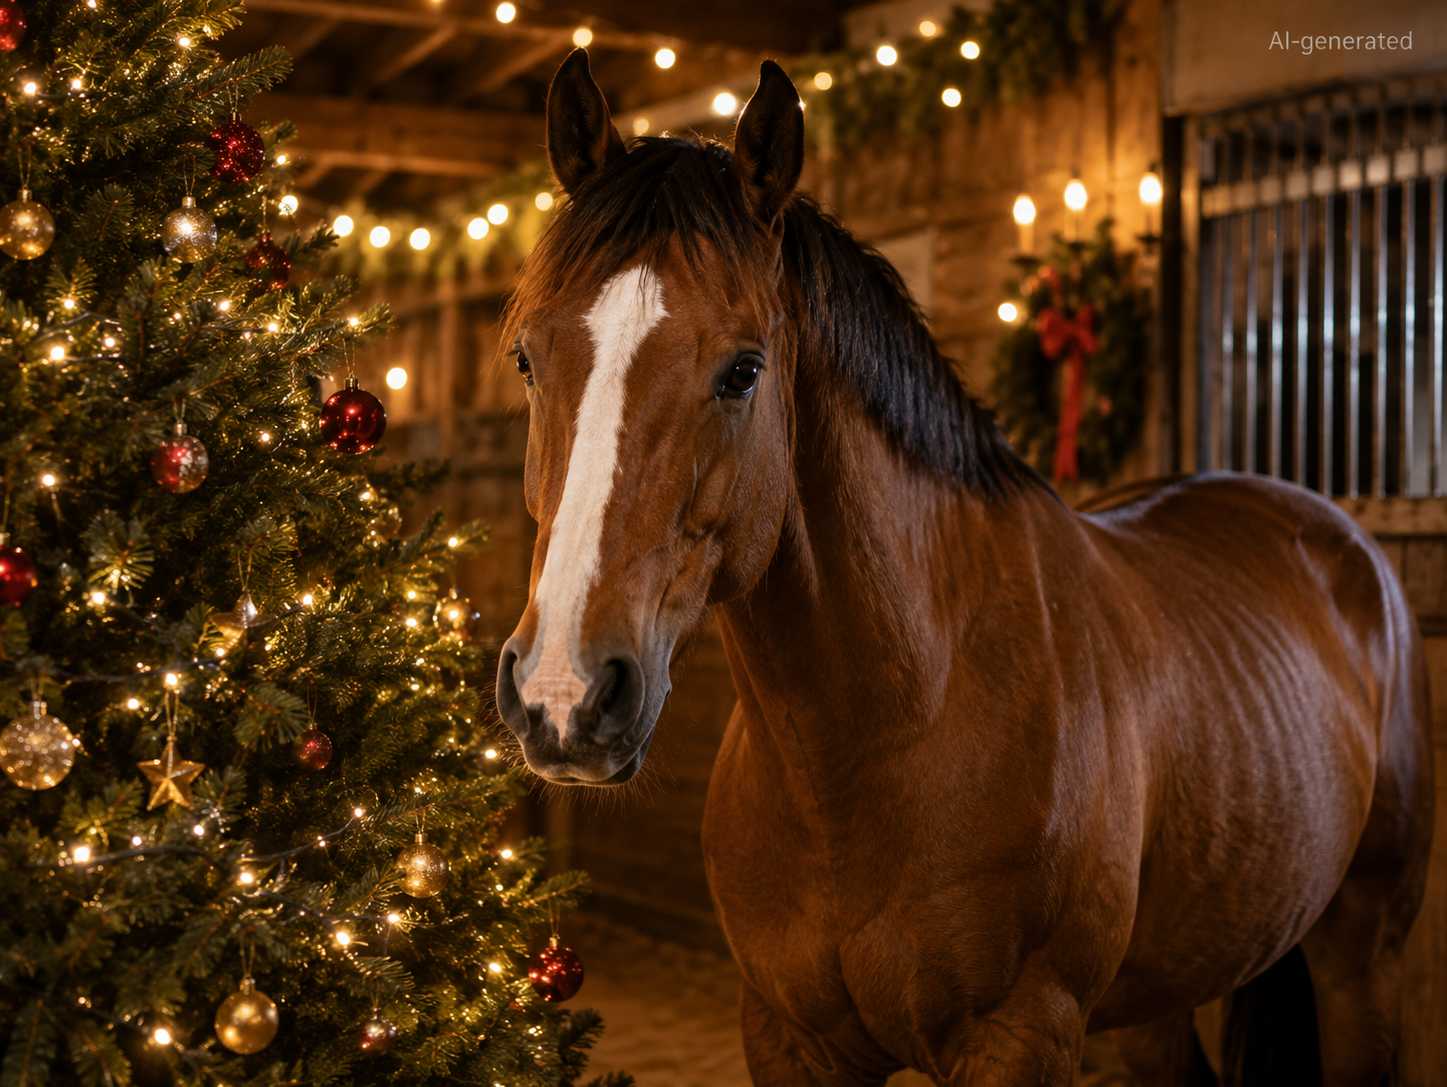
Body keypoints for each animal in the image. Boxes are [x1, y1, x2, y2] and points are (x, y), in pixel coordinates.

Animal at [494, 51, 1435, 1086]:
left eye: (742, 369)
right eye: (528, 359)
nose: (564, 692)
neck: (895, 725)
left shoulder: (1016, 1032)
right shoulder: (787, 1035)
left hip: (1361, 953)